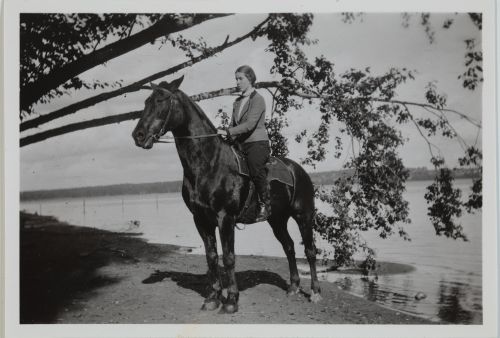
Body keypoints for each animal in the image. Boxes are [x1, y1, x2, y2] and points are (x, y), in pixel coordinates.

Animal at [131, 75, 322, 312]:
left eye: (161, 100)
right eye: (146, 101)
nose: (138, 136)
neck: (209, 163)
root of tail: (297, 170)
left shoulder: (226, 218)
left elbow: (229, 257)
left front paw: (231, 300)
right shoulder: (201, 220)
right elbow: (211, 256)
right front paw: (212, 298)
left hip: (303, 216)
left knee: (310, 251)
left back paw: (314, 292)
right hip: (277, 219)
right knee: (289, 247)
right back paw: (294, 287)